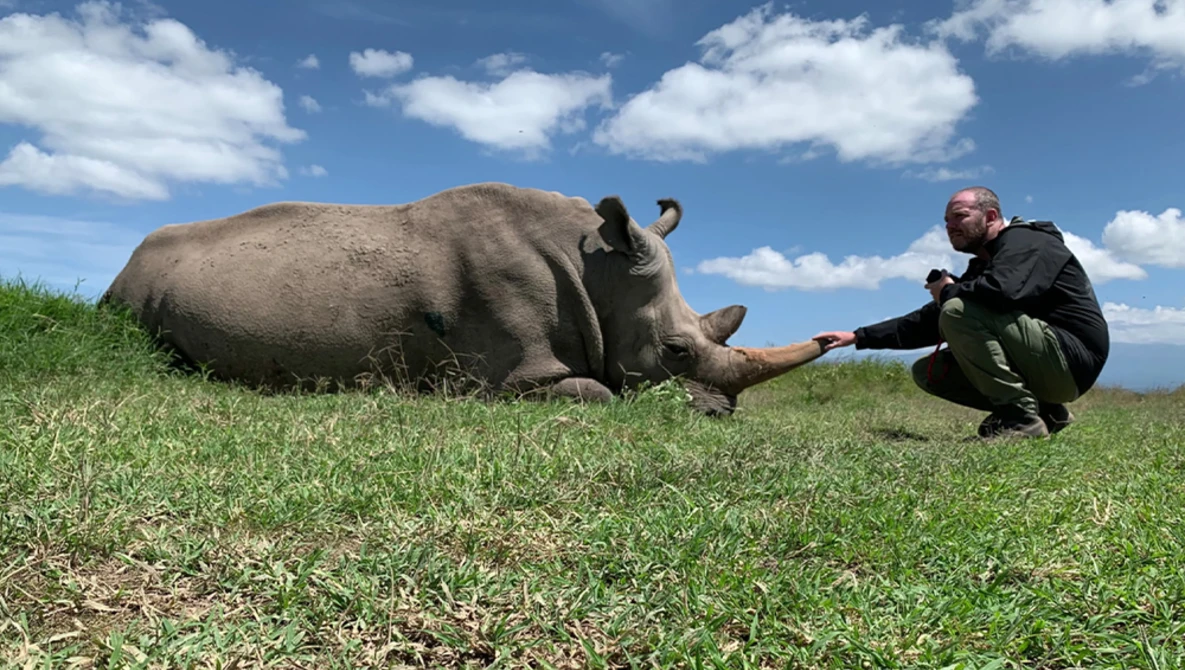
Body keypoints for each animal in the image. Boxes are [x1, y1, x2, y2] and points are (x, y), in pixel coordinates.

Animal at [100, 182, 824, 414]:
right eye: (675, 351)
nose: (722, 414)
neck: (597, 268)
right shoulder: (510, 376)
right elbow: (599, 392)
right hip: (126, 290)